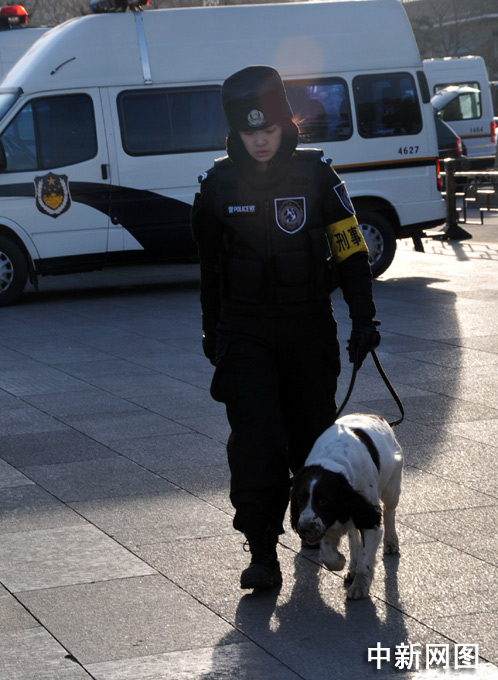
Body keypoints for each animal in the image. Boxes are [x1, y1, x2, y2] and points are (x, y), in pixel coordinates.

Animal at [290, 413, 402, 600]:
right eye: (300, 499)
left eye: (324, 501)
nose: (303, 529)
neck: (332, 461)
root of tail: (377, 416)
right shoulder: (328, 522)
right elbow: (327, 553)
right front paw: (340, 562)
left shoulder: (368, 516)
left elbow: (366, 559)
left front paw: (359, 587)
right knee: (353, 536)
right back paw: (352, 566)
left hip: (391, 487)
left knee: (389, 512)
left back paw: (391, 542)